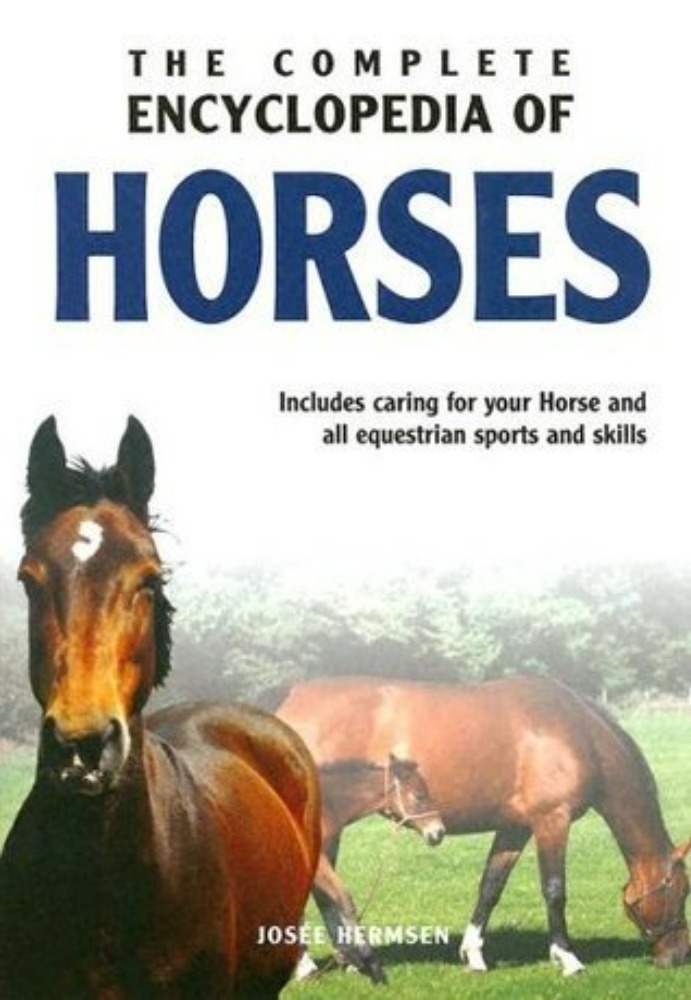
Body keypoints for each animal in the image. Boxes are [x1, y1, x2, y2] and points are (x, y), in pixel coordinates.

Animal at [298, 753, 445, 983]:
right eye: (419, 796)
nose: (439, 832)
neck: (323, 806)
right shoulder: (317, 860)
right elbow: (344, 901)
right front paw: (372, 966)